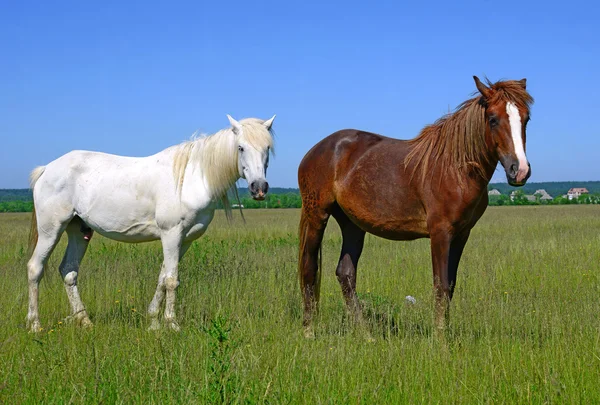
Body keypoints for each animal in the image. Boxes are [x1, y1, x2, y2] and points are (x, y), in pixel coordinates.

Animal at [25, 114, 274, 332]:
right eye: (241, 148)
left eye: (267, 149)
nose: (259, 188)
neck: (192, 178)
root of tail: (46, 169)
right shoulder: (171, 234)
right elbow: (172, 280)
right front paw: (172, 324)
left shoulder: (184, 240)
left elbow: (163, 278)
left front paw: (153, 321)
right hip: (51, 230)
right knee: (35, 268)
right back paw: (35, 325)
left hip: (78, 230)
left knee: (69, 271)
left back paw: (84, 321)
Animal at [300, 77, 536, 336]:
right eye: (493, 119)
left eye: (526, 118)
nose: (519, 170)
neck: (454, 169)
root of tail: (315, 150)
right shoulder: (440, 232)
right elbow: (441, 286)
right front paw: (441, 338)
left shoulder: (462, 234)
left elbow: (451, 285)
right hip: (317, 216)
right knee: (309, 268)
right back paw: (310, 331)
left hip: (352, 225)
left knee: (346, 274)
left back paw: (366, 334)